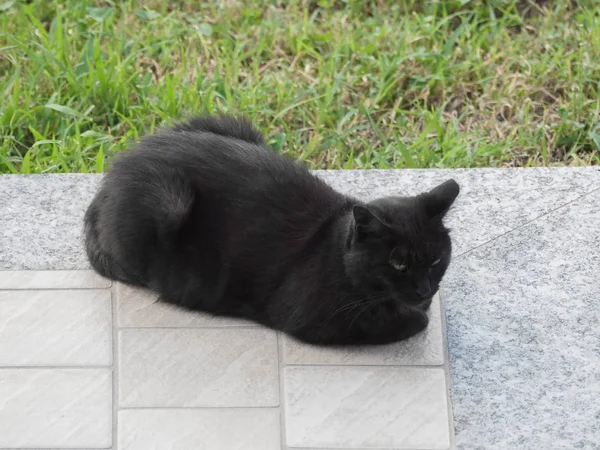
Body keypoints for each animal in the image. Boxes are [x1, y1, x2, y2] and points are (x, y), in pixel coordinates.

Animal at [84, 114, 460, 346]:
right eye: (398, 264)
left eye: (435, 260)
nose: (424, 288)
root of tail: (110, 177)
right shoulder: (316, 321)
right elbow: (413, 321)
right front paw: (415, 315)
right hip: (169, 201)